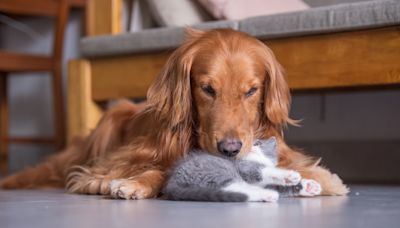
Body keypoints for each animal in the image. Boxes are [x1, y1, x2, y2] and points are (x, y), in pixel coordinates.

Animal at [162, 136, 322, 202]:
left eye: (257, 143)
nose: (248, 146)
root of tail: (171, 182)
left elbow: (281, 187)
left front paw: (309, 186)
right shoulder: (244, 168)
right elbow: (262, 171)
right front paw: (289, 175)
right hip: (217, 172)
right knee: (237, 189)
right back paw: (267, 195)